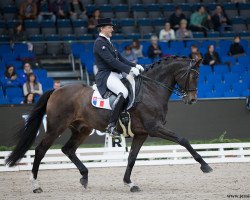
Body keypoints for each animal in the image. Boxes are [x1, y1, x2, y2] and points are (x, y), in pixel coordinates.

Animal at [5, 55, 213, 193]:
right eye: (194, 76)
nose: (192, 100)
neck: (151, 89)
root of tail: (57, 90)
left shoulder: (142, 133)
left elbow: (131, 158)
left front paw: (130, 183)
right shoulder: (154, 128)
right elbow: (183, 140)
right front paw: (205, 166)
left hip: (82, 129)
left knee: (68, 149)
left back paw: (84, 176)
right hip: (56, 127)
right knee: (40, 150)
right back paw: (36, 185)